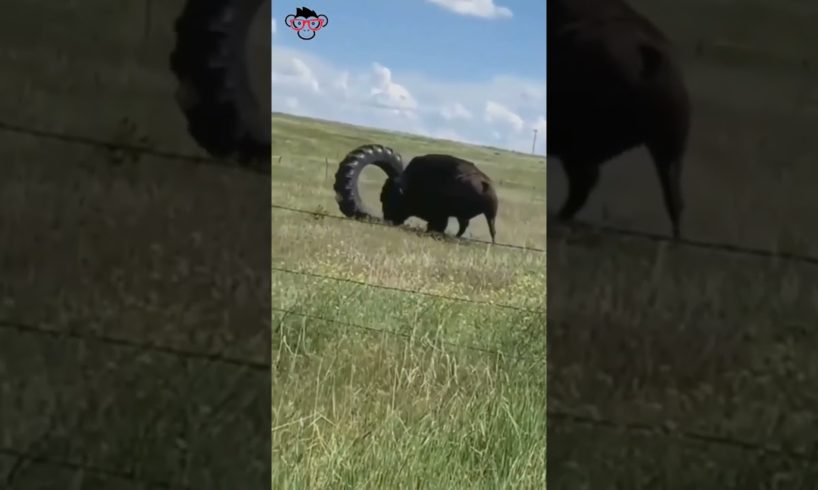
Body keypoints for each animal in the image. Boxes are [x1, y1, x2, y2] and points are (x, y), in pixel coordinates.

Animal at [332, 145, 498, 244]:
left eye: (385, 196)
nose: (388, 219)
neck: (411, 183)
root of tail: (485, 184)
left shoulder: (439, 217)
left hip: (487, 215)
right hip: (484, 215)